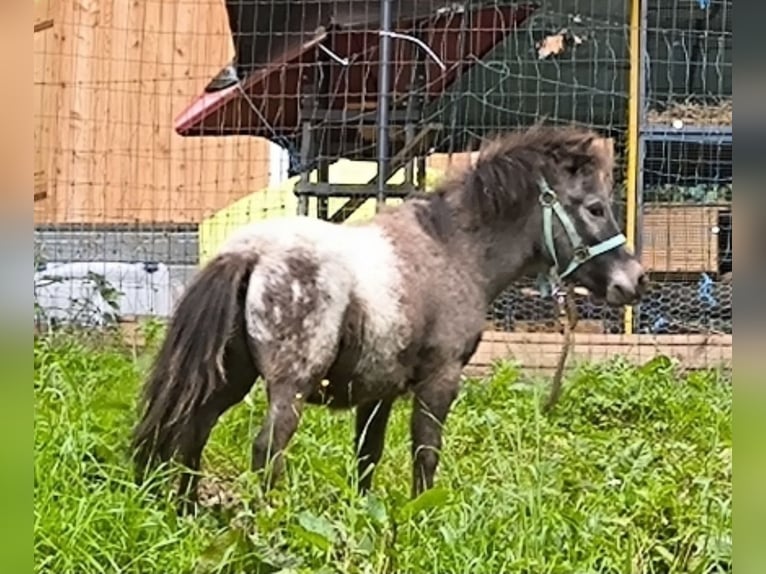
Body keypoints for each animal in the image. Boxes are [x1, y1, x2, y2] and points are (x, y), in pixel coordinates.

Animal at [131, 125, 648, 513]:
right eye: (595, 207)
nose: (635, 280)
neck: (451, 249)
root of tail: (250, 252)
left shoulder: (377, 392)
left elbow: (367, 457)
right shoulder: (440, 380)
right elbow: (425, 453)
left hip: (231, 378)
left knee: (193, 431)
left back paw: (186, 511)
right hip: (287, 387)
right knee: (266, 450)